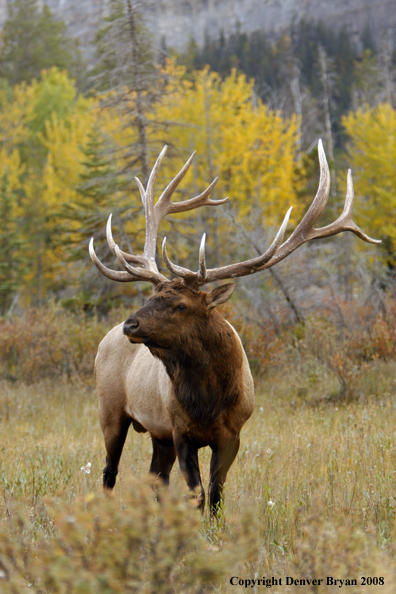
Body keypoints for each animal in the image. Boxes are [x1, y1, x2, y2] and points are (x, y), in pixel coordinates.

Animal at [88, 141, 378, 512]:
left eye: (180, 305)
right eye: (153, 295)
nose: (131, 323)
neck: (210, 401)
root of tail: (104, 339)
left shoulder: (231, 435)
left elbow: (215, 496)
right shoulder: (181, 431)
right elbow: (197, 494)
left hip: (156, 434)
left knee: (155, 478)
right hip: (110, 410)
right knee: (110, 471)